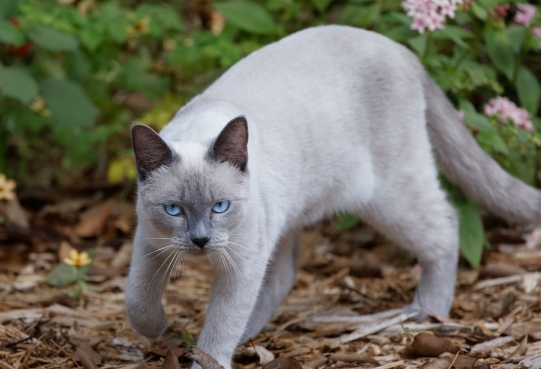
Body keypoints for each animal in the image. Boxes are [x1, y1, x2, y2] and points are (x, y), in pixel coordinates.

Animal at [124, 24, 536, 366]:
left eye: (220, 207)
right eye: (174, 209)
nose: (200, 241)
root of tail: (402, 50)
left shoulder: (241, 265)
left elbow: (219, 329)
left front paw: (203, 355)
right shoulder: (150, 245)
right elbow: (137, 303)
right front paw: (159, 328)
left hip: (386, 197)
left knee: (446, 225)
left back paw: (426, 314)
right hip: (288, 217)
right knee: (283, 277)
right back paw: (250, 335)